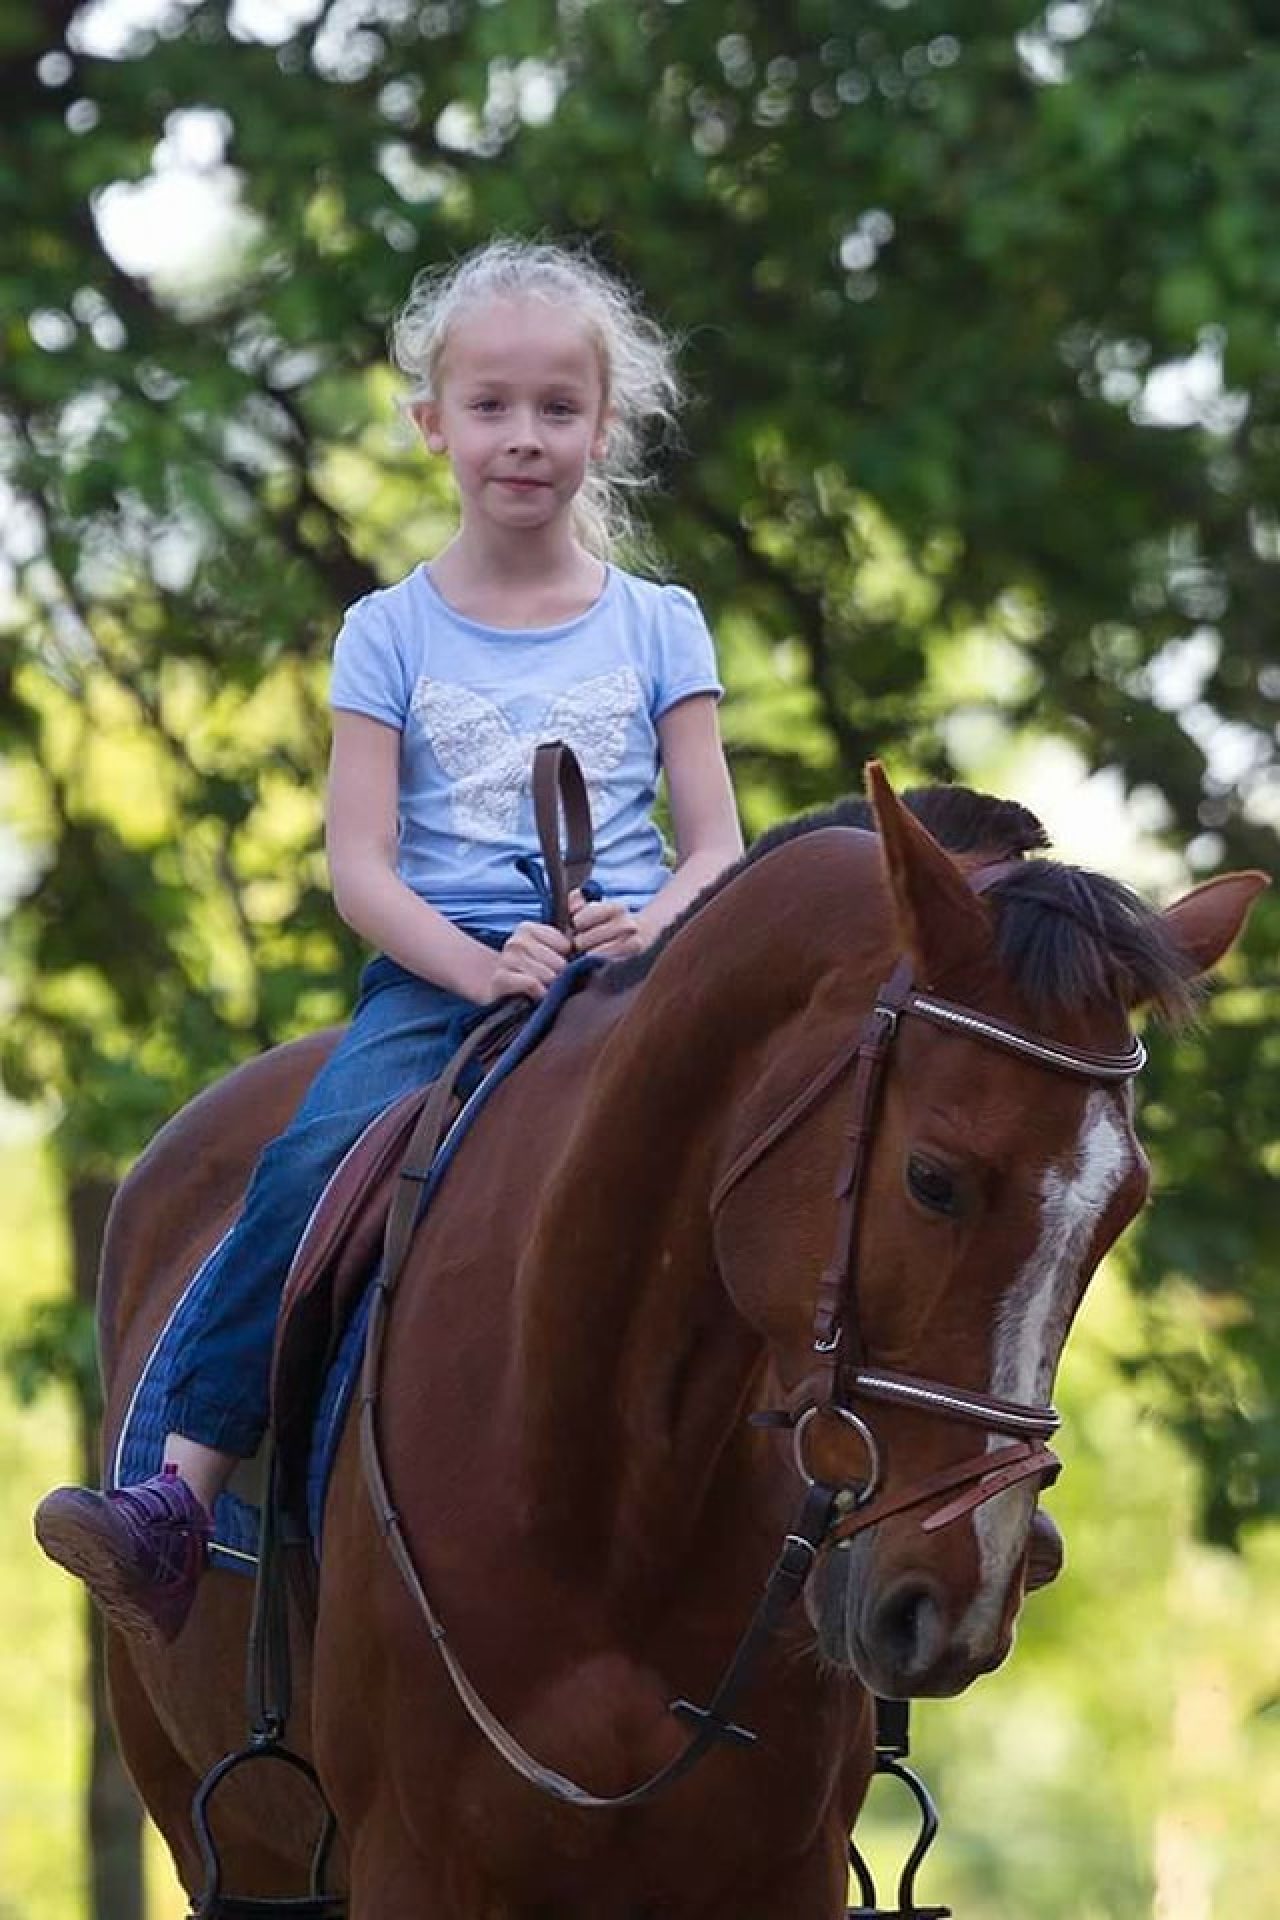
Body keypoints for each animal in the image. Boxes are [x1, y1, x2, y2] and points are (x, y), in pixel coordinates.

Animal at [95, 768, 1263, 1918]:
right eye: (932, 1179)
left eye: (1119, 1212)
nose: (957, 1599)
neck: (608, 1493)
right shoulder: (413, 1865)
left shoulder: (784, 1871)